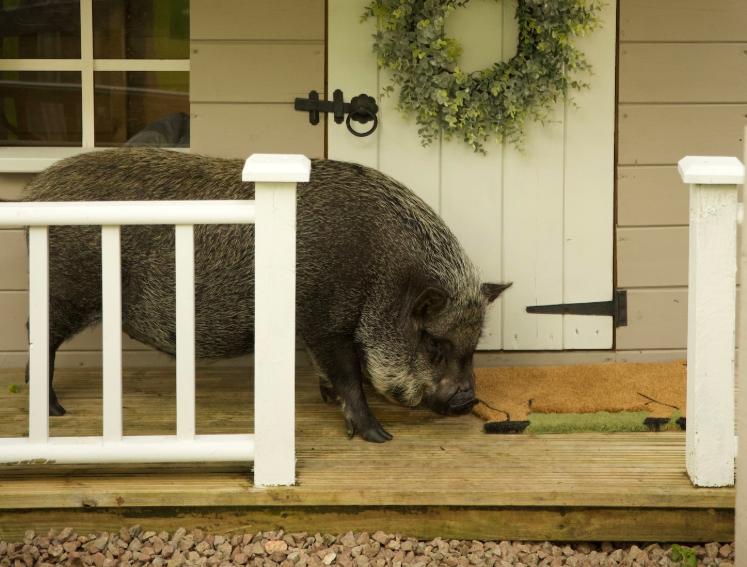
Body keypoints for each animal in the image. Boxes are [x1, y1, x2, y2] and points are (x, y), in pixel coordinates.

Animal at [20, 148, 511, 442]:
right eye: (433, 343)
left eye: (474, 347)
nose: (467, 400)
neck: (381, 274)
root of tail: (32, 194)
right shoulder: (325, 322)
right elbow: (349, 375)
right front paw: (378, 437)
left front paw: (327, 399)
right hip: (63, 292)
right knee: (37, 336)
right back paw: (55, 410)